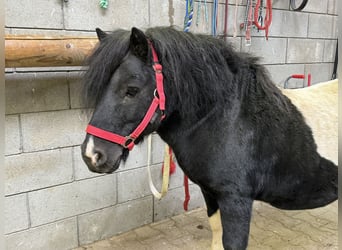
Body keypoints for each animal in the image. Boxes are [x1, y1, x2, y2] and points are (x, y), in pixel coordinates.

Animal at [81, 26, 338, 249]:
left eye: (131, 90)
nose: (92, 154)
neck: (230, 119)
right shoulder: (210, 194)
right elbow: (216, 236)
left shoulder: (237, 201)